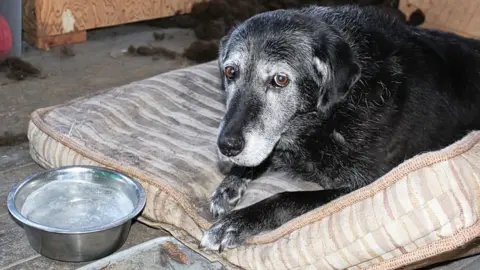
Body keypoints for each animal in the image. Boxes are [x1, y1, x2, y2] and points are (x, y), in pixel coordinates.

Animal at [198, 4, 480, 252]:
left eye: (280, 79)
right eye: (230, 71)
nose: (227, 146)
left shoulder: (361, 186)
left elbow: (287, 197)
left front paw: (237, 223)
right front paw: (230, 184)